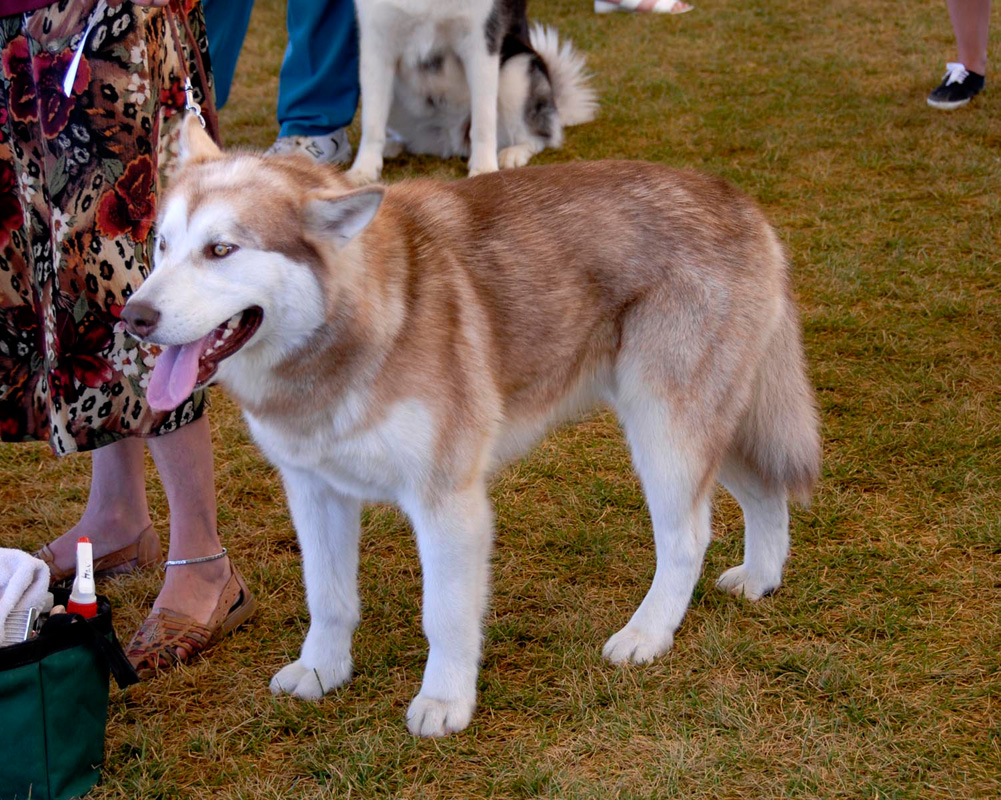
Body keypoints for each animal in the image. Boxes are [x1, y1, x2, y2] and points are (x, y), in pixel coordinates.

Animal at [123, 117, 821, 738]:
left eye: (221, 249)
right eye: (162, 244)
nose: (133, 317)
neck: (356, 330)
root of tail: (737, 200)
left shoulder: (447, 504)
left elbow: (447, 617)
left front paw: (445, 702)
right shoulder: (315, 491)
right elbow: (328, 597)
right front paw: (322, 672)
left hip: (665, 431)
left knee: (687, 537)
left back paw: (648, 634)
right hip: (703, 424)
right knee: (767, 492)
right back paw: (761, 578)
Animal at [347, 0, 596, 184]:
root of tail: (449, 143)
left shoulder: (482, 44)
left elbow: (484, 120)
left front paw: (484, 169)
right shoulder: (375, 46)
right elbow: (372, 122)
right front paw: (364, 169)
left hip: (518, 70)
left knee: (543, 135)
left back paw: (514, 153)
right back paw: (393, 145)